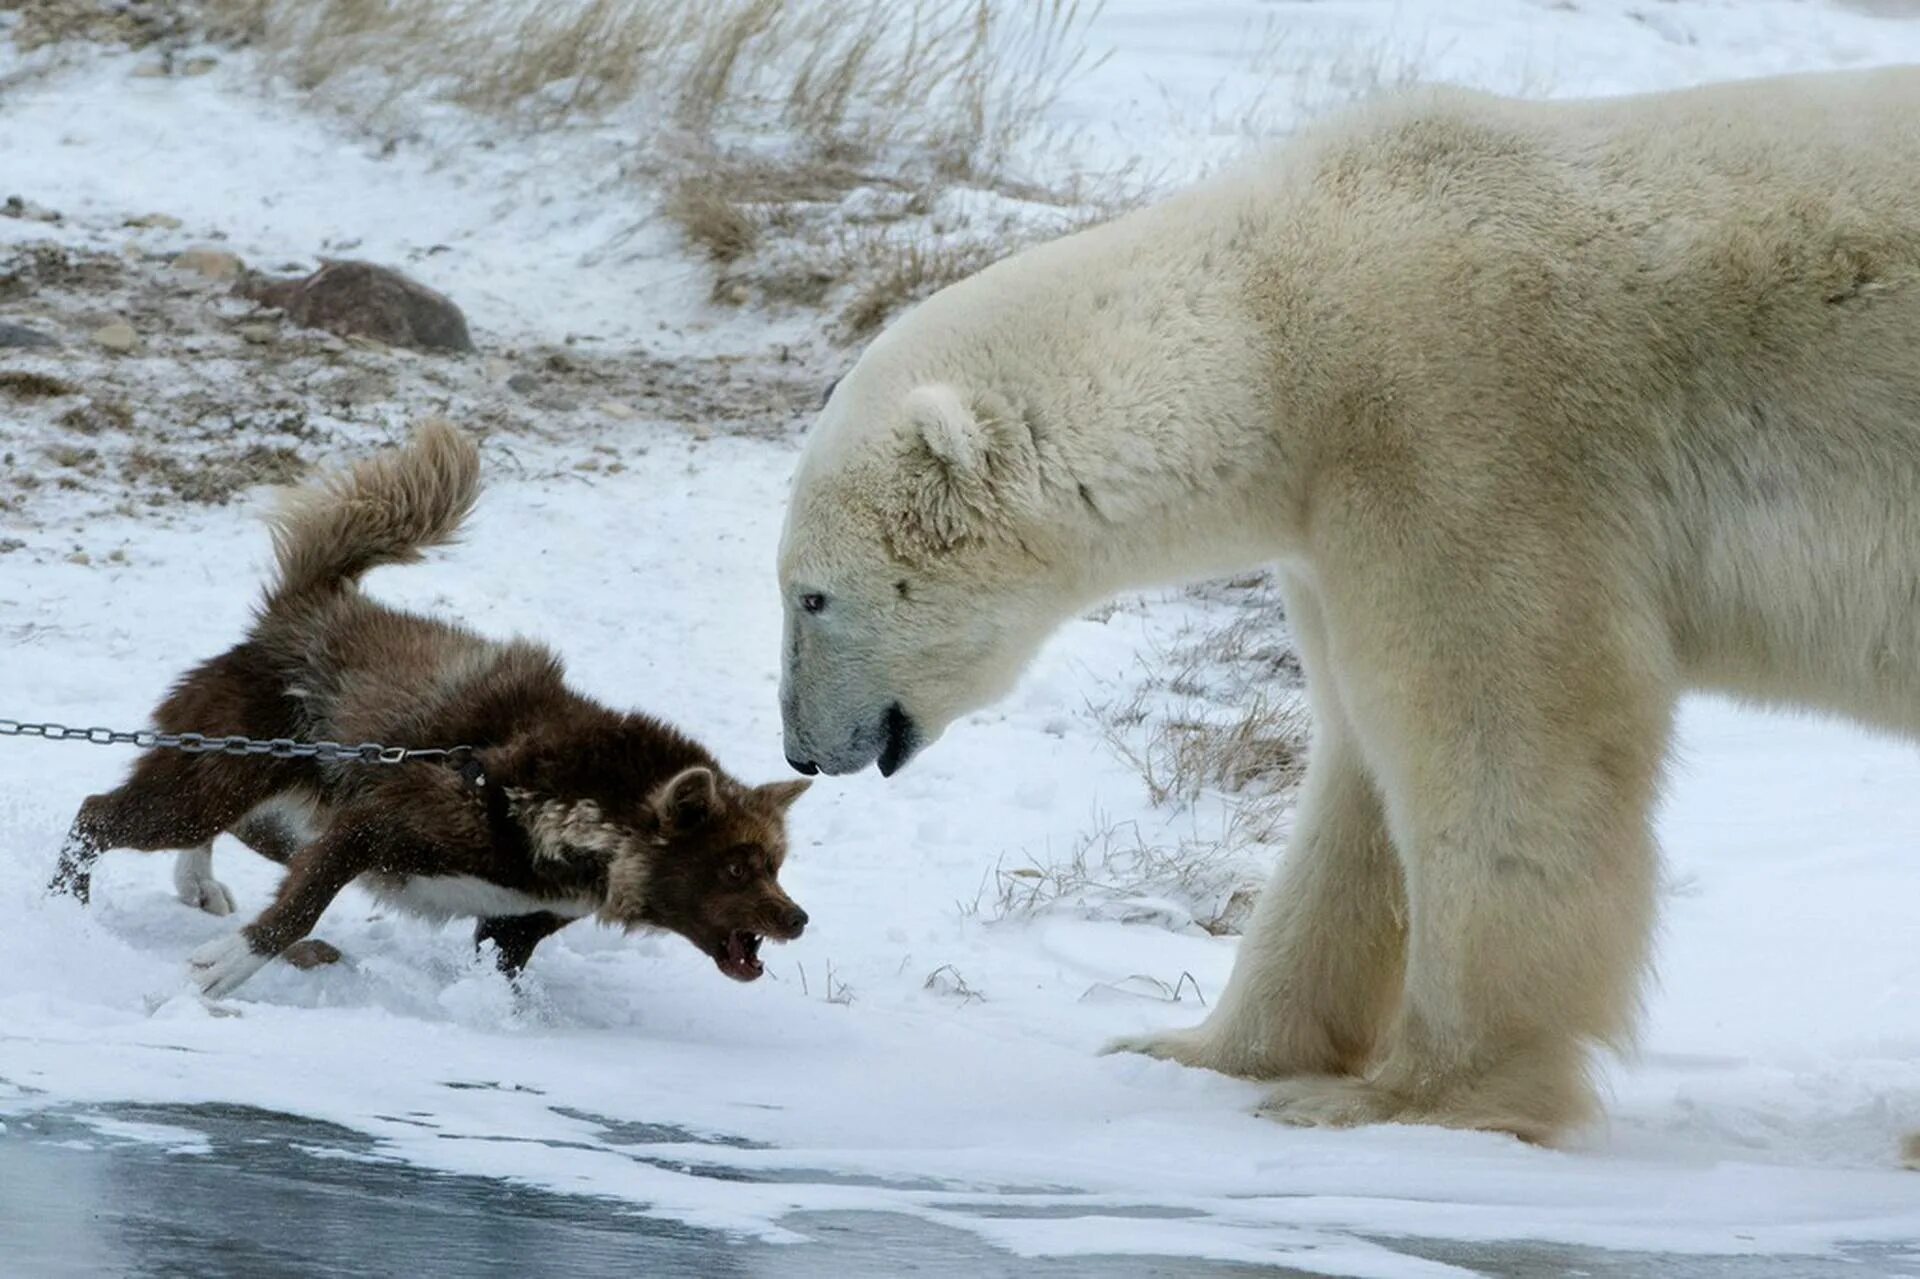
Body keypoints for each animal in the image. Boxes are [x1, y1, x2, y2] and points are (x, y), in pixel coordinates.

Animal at [48, 420, 806, 998]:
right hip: (219, 785)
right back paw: (64, 911)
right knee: (97, 815)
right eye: (735, 867)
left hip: (281, 807)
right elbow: (299, 908)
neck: (561, 807)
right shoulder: (369, 828)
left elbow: (501, 972)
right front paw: (227, 965)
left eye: (776, 863)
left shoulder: (512, 922)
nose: (798, 919)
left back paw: (197, 879)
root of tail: (305, 612)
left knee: (216, 828)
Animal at [771, 67, 1920, 1144]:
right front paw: (1196, 1047)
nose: (799, 748)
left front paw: (1414, 1098)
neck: (1283, 323)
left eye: (811, 595)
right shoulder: (1332, 527)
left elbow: (1510, 743)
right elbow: (1358, 776)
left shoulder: (1468, 438)